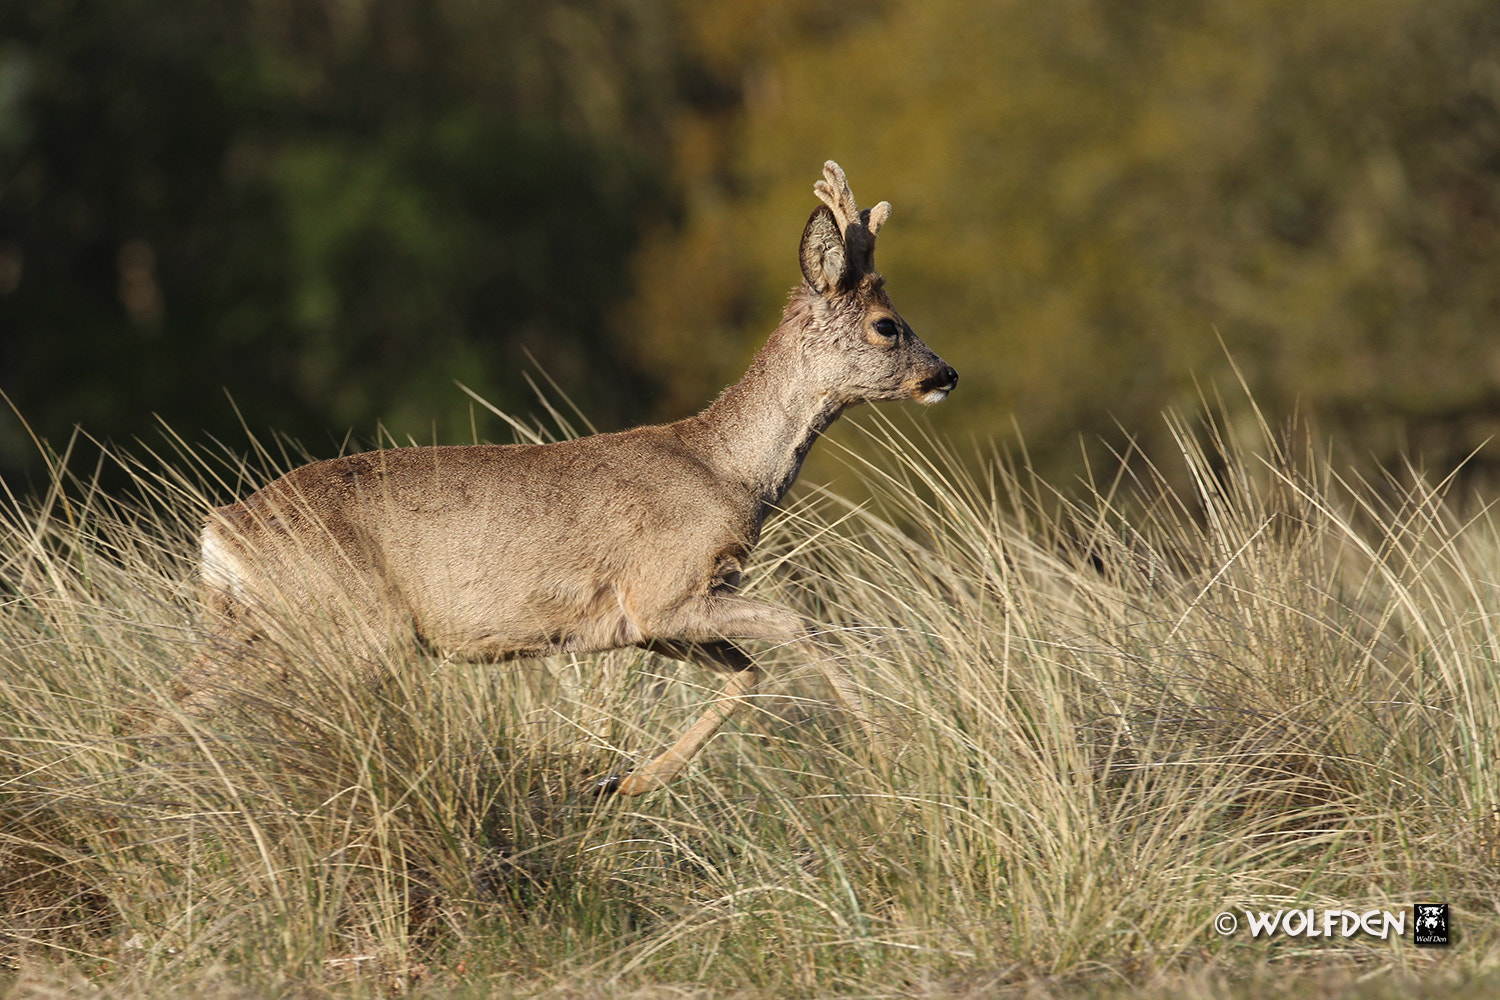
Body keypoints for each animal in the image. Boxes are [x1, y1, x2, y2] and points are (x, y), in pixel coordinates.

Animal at [170, 160, 954, 791]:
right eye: (887, 325)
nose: (945, 374)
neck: (727, 470)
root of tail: (221, 532)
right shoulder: (662, 588)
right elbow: (799, 625)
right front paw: (886, 747)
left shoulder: (642, 623)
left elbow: (750, 673)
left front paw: (628, 782)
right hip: (351, 625)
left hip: (256, 624)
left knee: (178, 701)